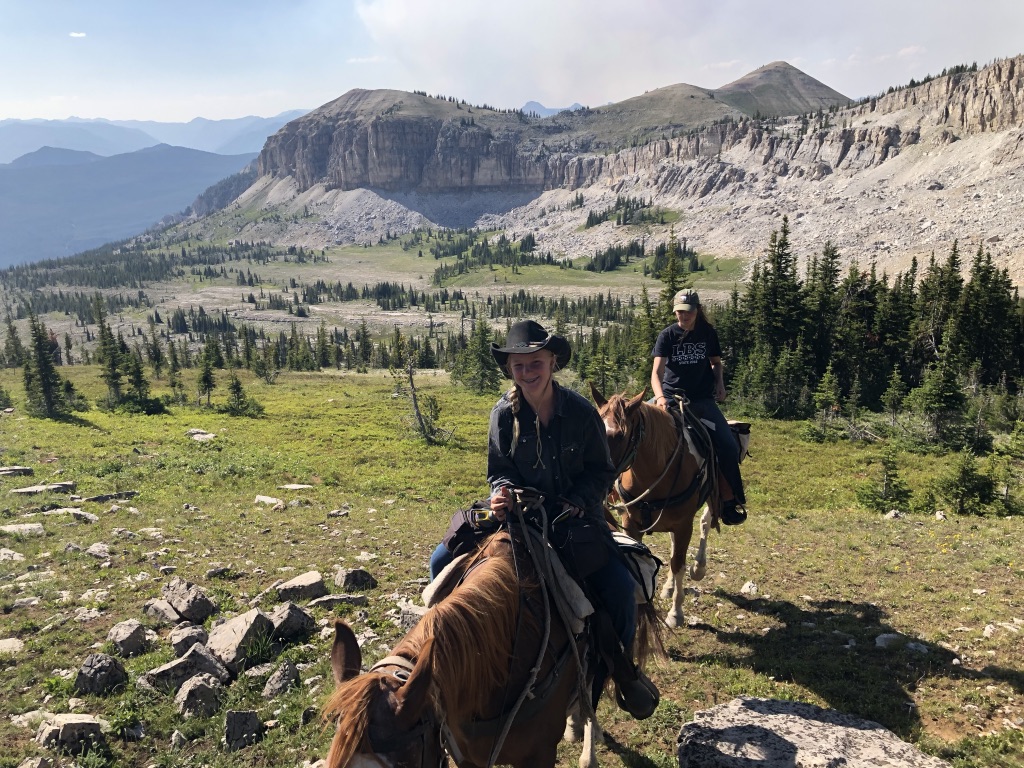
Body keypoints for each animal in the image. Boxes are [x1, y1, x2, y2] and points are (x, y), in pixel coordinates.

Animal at [593, 387, 712, 626]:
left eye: (620, 436)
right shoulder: (631, 524)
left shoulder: (684, 525)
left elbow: (678, 564)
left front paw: (676, 613)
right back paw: (668, 587)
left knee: (707, 521)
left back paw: (699, 567)